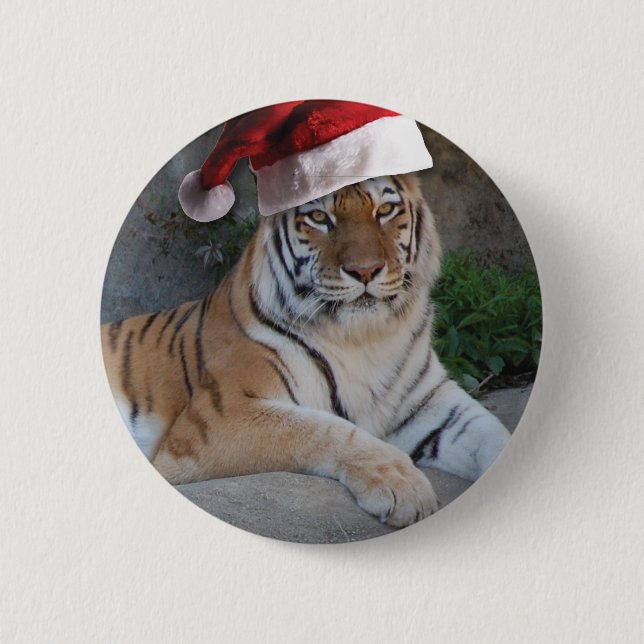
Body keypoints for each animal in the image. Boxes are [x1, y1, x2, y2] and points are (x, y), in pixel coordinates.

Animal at [101, 173, 510, 528]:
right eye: (318, 217)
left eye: (385, 210)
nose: (365, 271)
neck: (366, 337)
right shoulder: (219, 418)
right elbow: (324, 430)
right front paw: (403, 485)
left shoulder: (432, 403)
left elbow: (491, 433)